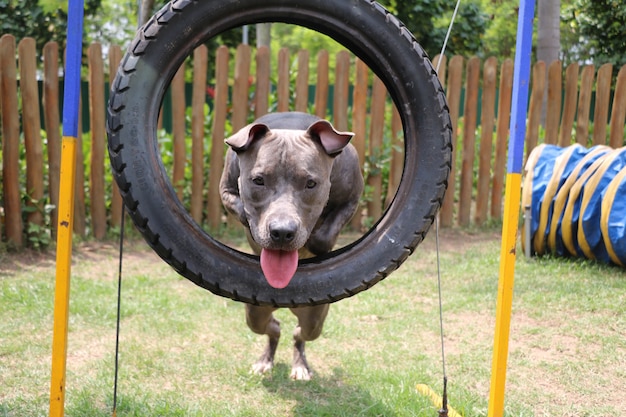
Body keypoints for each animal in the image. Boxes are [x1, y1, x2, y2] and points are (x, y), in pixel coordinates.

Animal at [219, 111, 364, 380]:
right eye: (258, 180)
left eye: (311, 183)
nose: (282, 232)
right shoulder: (227, 189)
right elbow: (239, 207)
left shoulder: (351, 198)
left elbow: (327, 231)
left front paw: (315, 243)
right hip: (255, 312)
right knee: (273, 327)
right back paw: (264, 362)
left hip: (315, 317)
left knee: (300, 333)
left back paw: (300, 366)